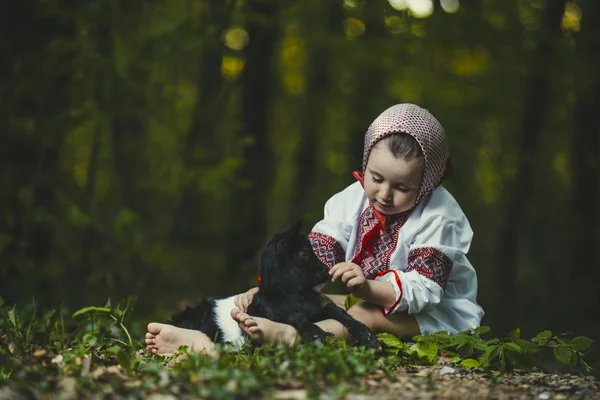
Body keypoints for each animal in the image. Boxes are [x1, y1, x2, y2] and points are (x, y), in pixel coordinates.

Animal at [171, 219, 382, 350]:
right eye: (305, 252)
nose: (326, 269)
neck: (295, 295)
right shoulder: (280, 311)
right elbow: (296, 318)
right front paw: (320, 335)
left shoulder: (323, 306)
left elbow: (342, 314)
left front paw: (370, 337)